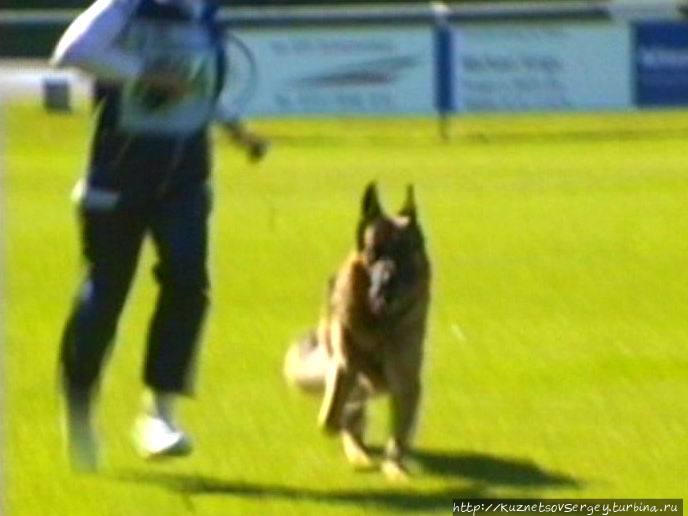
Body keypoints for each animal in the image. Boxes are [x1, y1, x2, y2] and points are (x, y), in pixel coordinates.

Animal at [282, 182, 428, 480]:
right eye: (373, 252)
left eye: (403, 253)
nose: (385, 289)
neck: (379, 324)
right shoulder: (344, 367)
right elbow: (330, 420)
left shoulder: (405, 380)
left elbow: (398, 439)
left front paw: (396, 469)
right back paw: (358, 452)